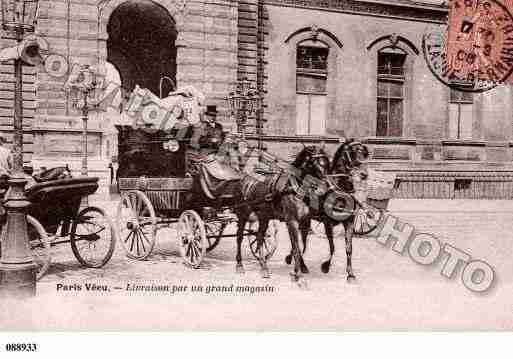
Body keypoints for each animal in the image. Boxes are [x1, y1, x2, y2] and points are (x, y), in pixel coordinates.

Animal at [284, 139, 368, 282]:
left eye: (364, 152)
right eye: (353, 152)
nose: (364, 174)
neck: (340, 188)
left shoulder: (349, 221)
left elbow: (349, 248)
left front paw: (350, 274)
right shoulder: (328, 223)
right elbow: (332, 247)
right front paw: (325, 266)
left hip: (305, 221)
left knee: (301, 241)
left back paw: (300, 264)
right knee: (299, 243)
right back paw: (299, 265)